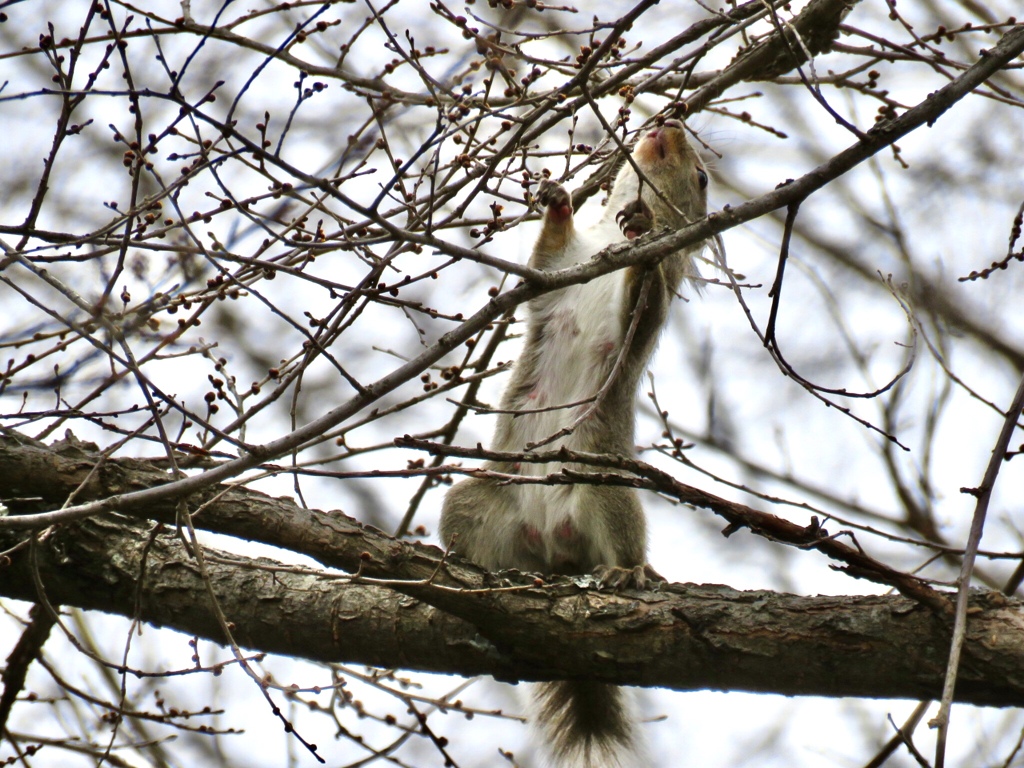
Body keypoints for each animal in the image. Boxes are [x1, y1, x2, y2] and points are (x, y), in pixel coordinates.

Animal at [440, 120, 712, 768]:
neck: (606, 247)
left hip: (604, 491)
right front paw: (559, 200)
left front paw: (645, 227)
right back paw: (470, 567)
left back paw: (628, 574)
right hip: (478, 498)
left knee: (622, 540)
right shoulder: (559, 269)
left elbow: (645, 300)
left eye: (702, 177)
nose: (670, 120)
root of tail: (555, 555)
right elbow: (541, 262)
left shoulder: (662, 285)